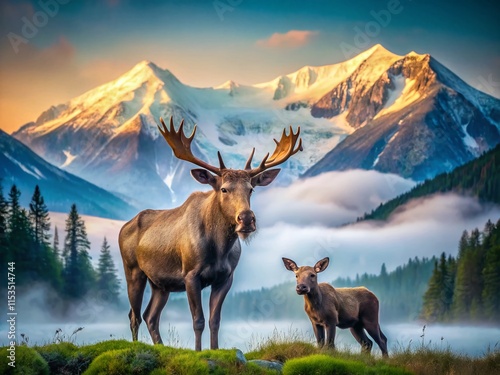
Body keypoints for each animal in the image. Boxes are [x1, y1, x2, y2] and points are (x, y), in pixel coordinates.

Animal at [119, 118, 302, 352]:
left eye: (251, 189)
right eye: (224, 189)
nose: (246, 219)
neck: (219, 249)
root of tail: (124, 226)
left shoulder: (225, 277)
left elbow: (215, 320)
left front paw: (215, 350)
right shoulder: (190, 275)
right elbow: (198, 320)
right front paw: (198, 352)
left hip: (160, 283)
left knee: (150, 316)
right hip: (133, 270)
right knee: (134, 315)